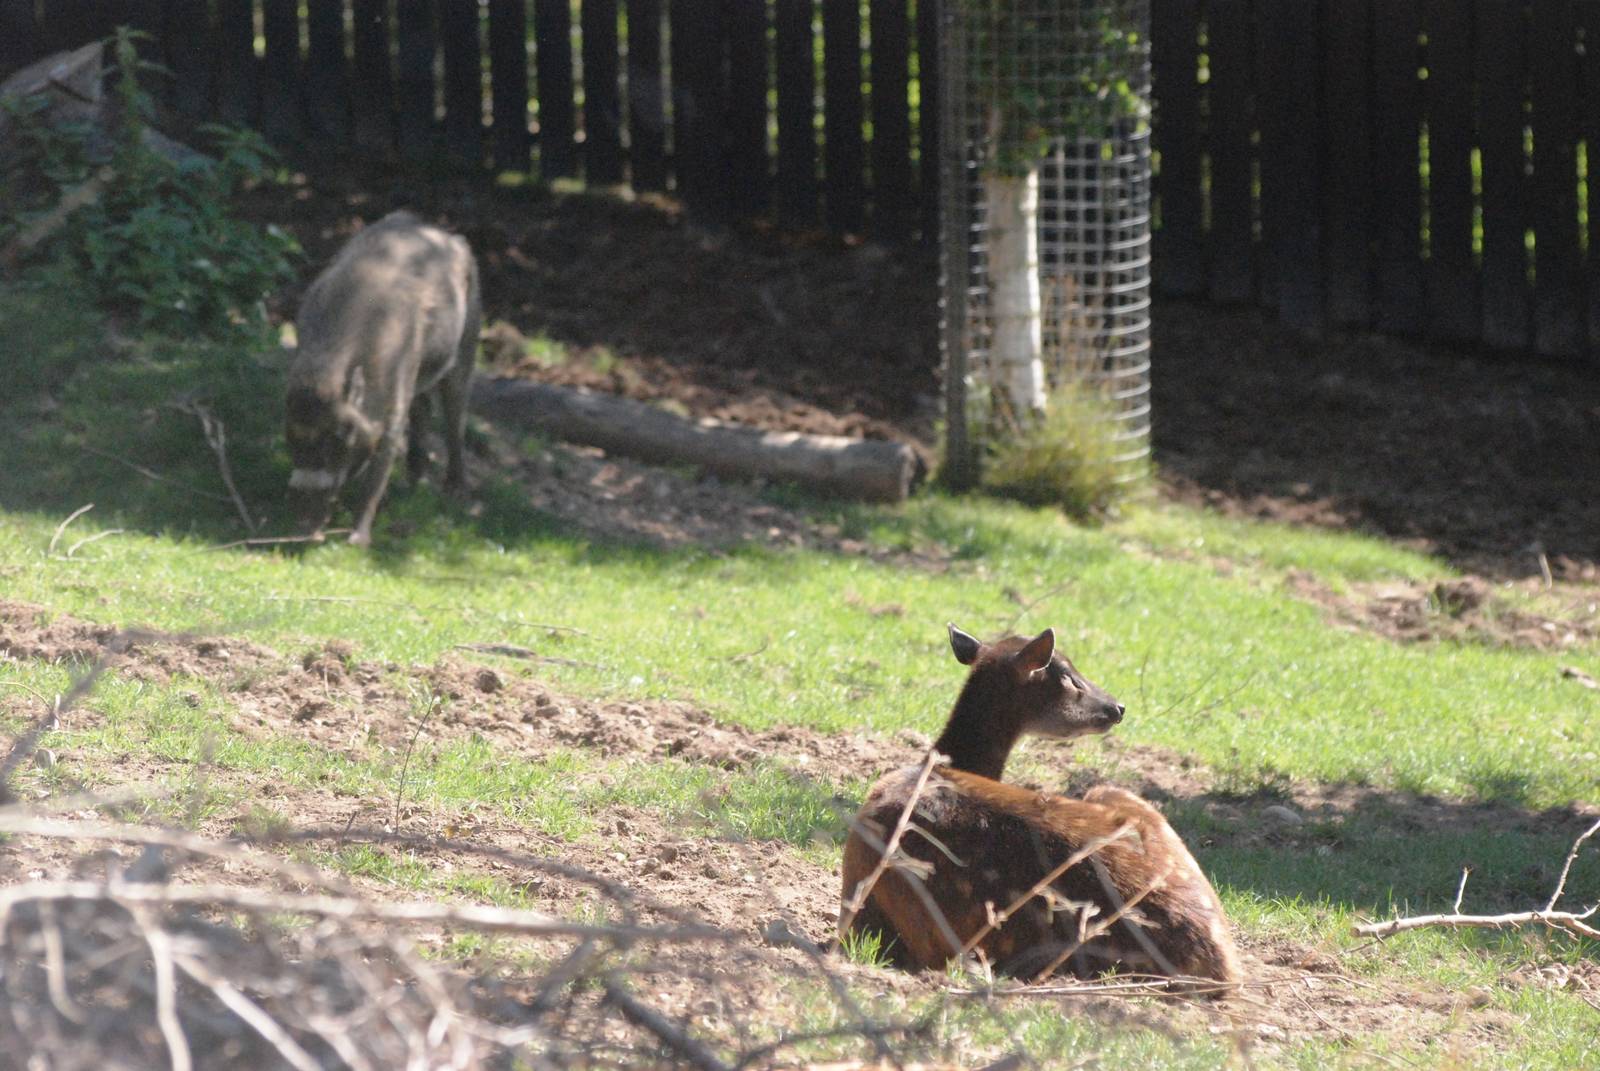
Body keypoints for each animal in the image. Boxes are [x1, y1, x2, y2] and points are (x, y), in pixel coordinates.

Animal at [285, 211, 480, 546]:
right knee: (424, 410)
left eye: (339, 434)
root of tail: (450, 237)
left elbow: (379, 468)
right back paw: (415, 482)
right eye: (290, 434)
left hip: (464, 357)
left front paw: (358, 541)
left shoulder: (393, 409)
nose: (303, 529)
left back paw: (457, 493)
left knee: (455, 418)